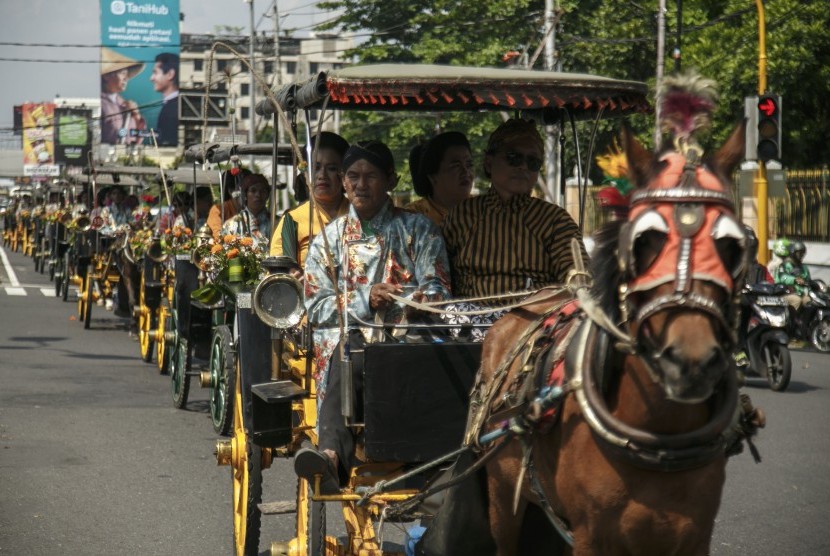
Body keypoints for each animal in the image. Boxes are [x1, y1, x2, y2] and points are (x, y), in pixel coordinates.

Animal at [468, 105, 752, 552]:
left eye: (732, 245)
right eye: (644, 241)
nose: (691, 364)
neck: (657, 436)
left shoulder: (695, 534)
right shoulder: (591, 536)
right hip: (501, 488)